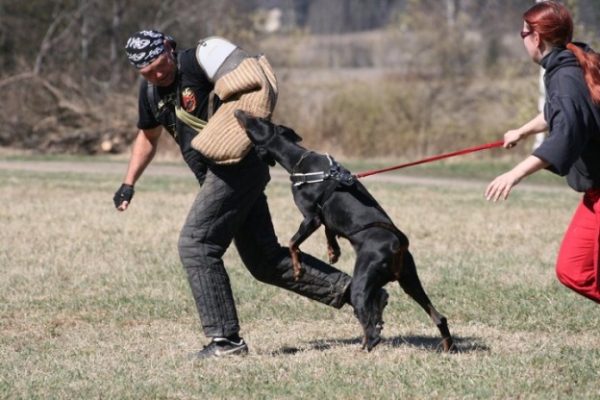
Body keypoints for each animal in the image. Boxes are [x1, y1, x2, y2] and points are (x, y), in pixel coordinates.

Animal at [234, 110, 454, 354]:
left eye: (257, 121)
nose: (238, 111)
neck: (300, 161)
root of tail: (398, 245)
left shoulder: (311, 218)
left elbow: (293, 242)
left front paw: (298, 269)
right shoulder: (324, 218)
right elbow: (329, 231)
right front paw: (333, 252)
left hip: (362, 284)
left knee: (372, 332)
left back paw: (363, 349)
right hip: (409, 279)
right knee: (438, 317)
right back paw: (448, 348)